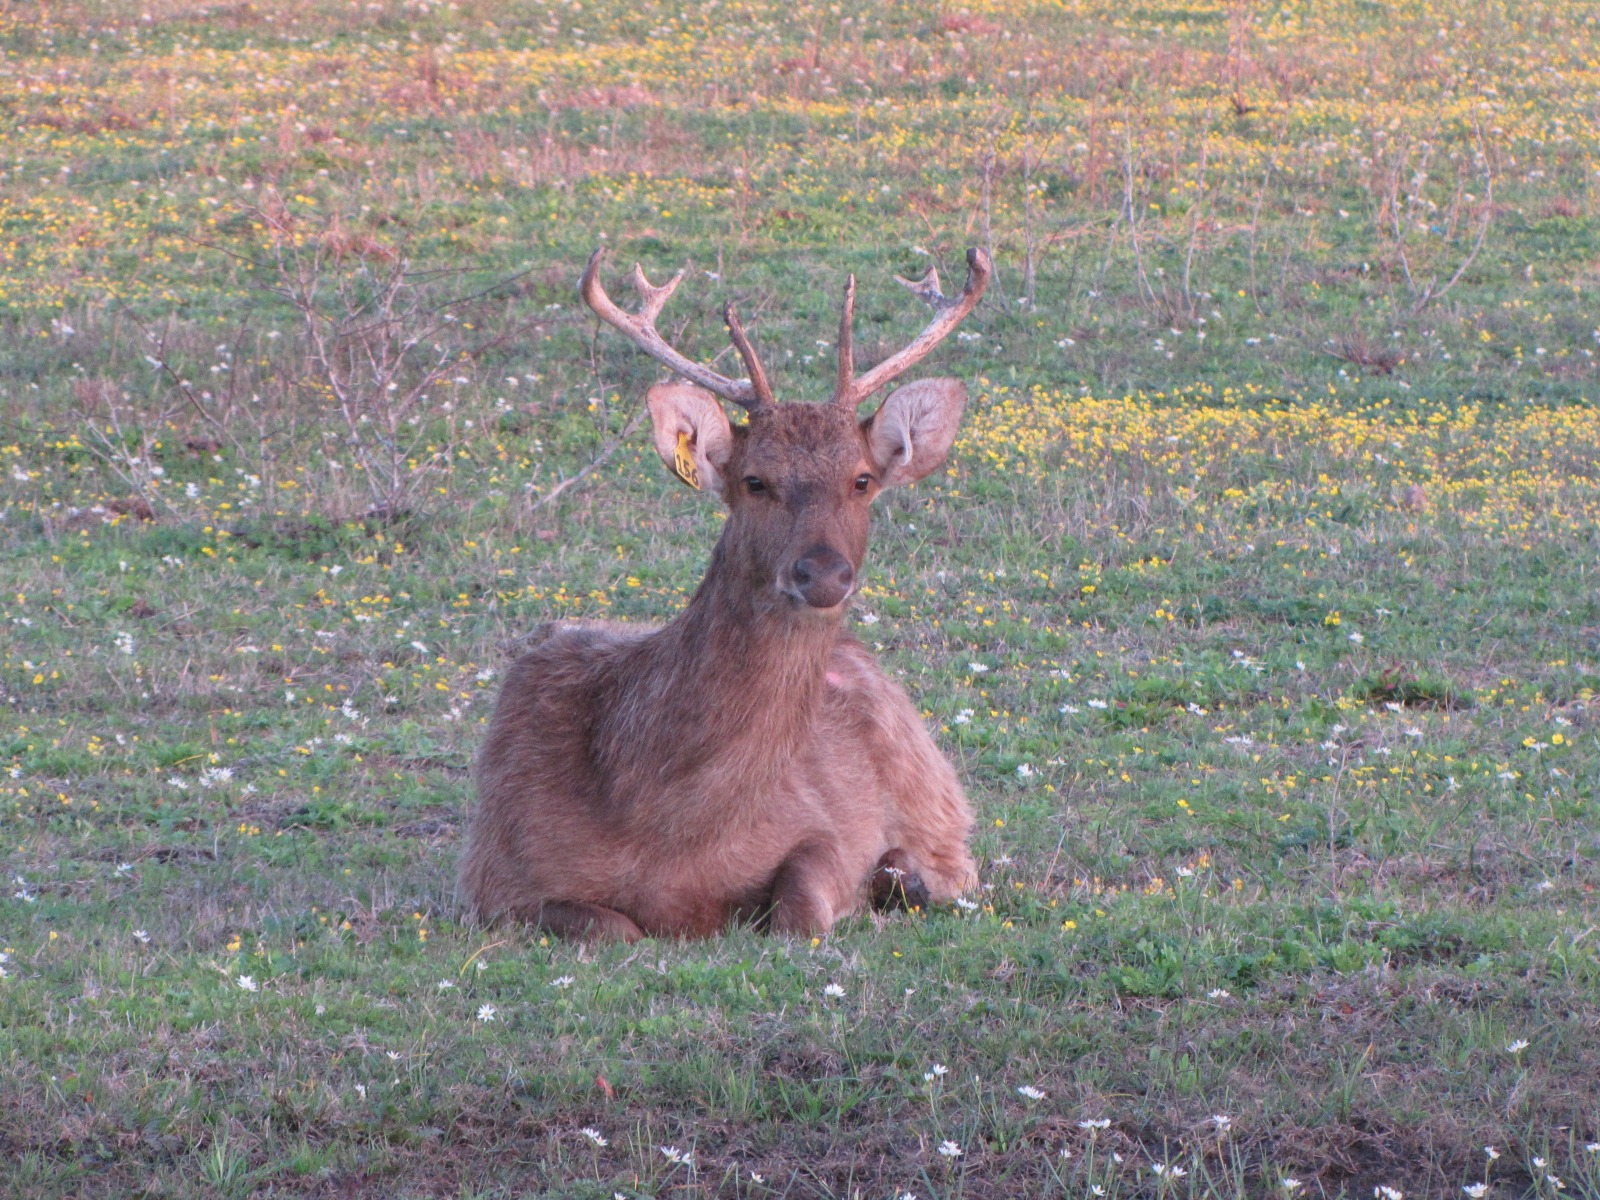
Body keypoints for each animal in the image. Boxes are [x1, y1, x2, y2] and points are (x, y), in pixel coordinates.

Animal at [457, 246, 992, 941]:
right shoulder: (495, 873)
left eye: (862, 479)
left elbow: (800, 907)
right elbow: (614, 927)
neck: (663, 825)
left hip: (933, 787)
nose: (823, 574)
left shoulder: (823, 825)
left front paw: (864, 891)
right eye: (754, 481)